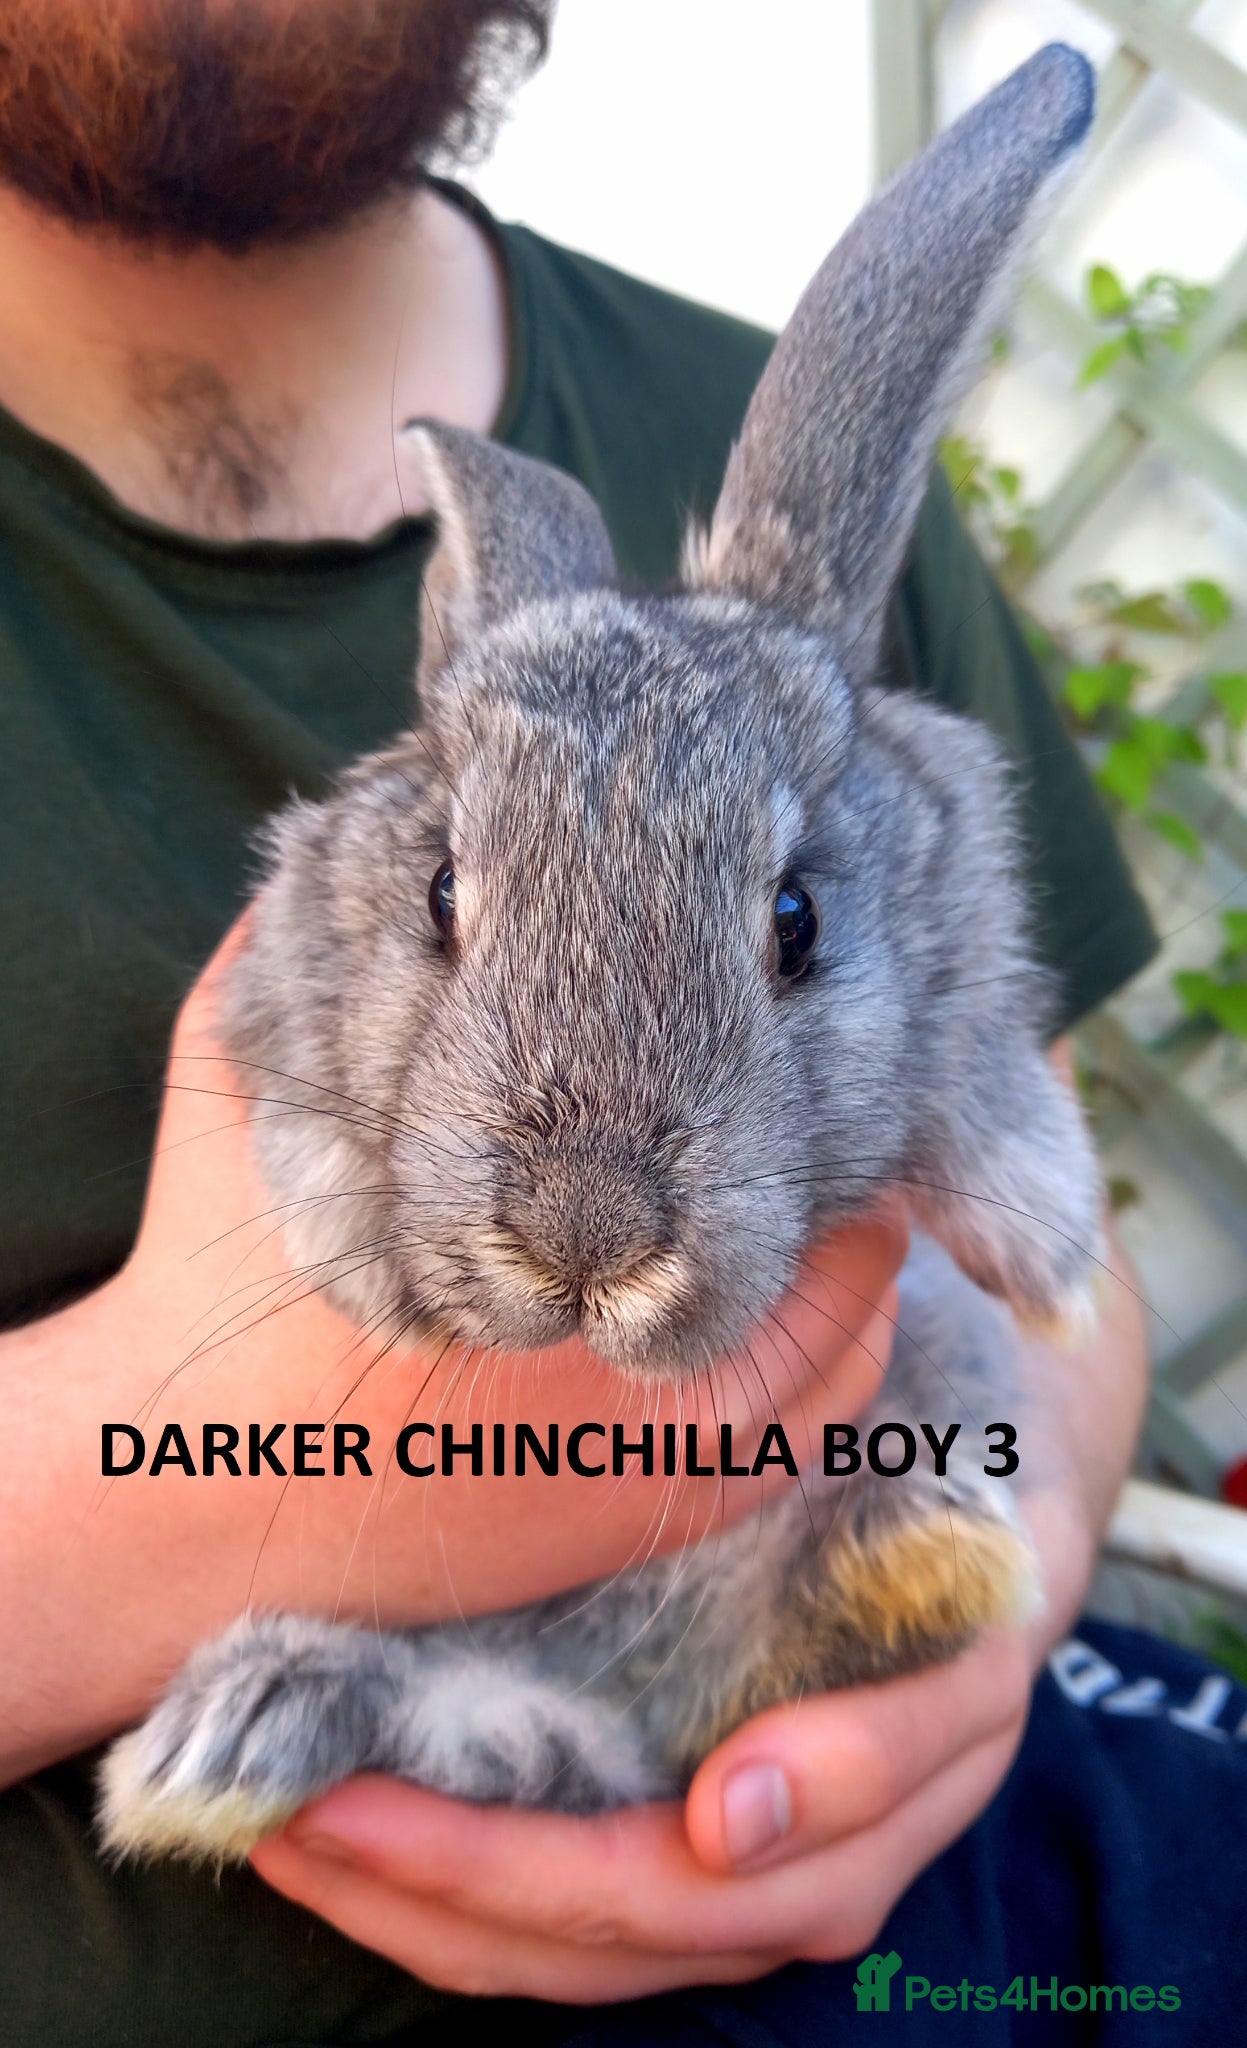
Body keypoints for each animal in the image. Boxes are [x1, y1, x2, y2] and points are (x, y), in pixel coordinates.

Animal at [100, 44, 1105, 1866]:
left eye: (796, 923)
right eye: (438, 892)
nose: (584, 1236)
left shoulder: (962, 908)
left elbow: (990, 1083)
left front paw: (1052, 1257)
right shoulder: (279, 992)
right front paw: (367, 1268)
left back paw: (921, 1554)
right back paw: (232, 1740)